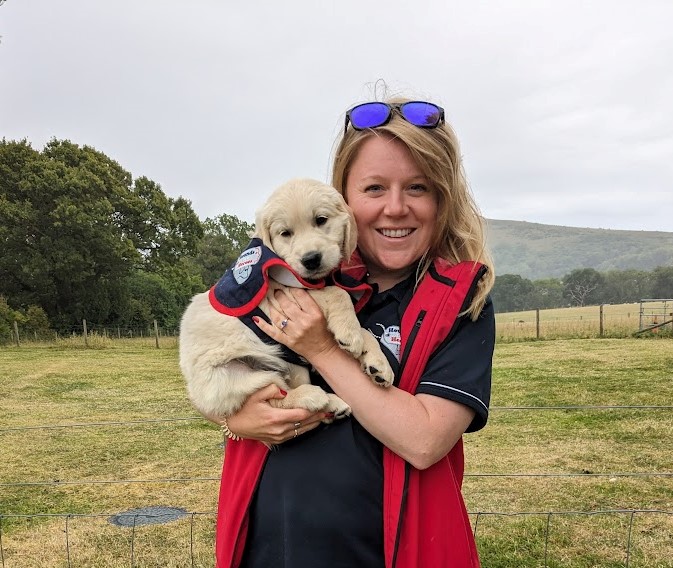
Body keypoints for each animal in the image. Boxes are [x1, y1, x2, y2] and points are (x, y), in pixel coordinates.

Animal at [178, 178, 394, 422]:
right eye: (285, 233)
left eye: (321, 220)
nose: (311, 260)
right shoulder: (276, 294)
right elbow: (338, 293)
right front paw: (350, 334)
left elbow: (364, 328)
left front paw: (378, 363)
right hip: (239, 377)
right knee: (276, 398)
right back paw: (315, 397)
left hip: (290, 366)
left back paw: (332, 405)